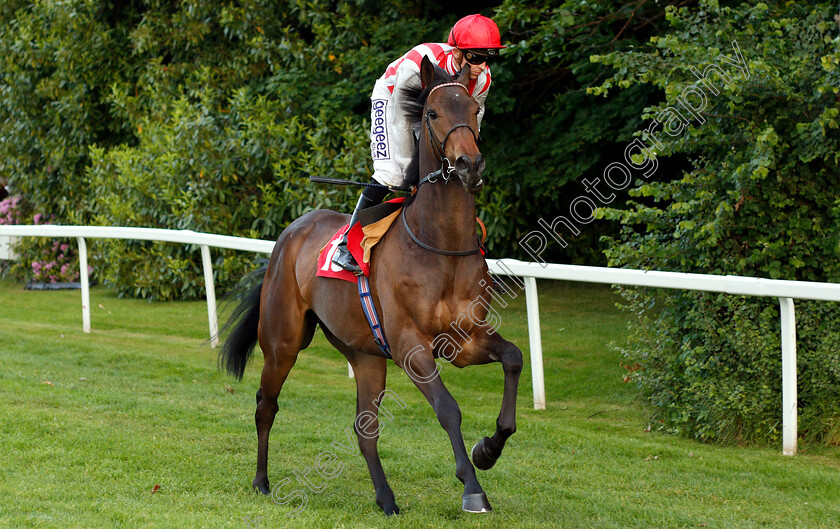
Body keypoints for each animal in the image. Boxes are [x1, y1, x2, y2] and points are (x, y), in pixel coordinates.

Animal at [221, 55, 524, 512]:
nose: (469, 165)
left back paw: (386, 498)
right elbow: (448, 408)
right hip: (283, 342)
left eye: (474, 111)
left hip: (364, 354)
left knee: (365, 429)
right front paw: (472, 488)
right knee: (265, 405)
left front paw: (487, 450)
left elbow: (513, 358)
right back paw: (261, 481)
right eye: (432, 113)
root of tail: (291, 233)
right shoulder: (410, 345)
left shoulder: (464, 339)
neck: (441, 245)